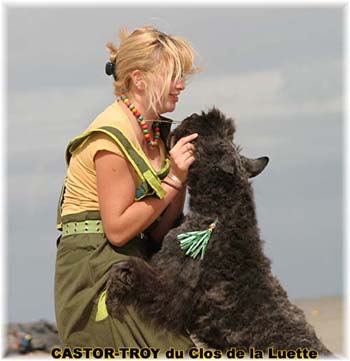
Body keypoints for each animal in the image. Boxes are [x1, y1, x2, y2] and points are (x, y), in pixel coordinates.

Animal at [106, 107, 330, 354]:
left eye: (206, 133)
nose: (193, 116)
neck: (220, 214)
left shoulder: (170, 293)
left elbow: (131, 269)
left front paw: (114, 291)